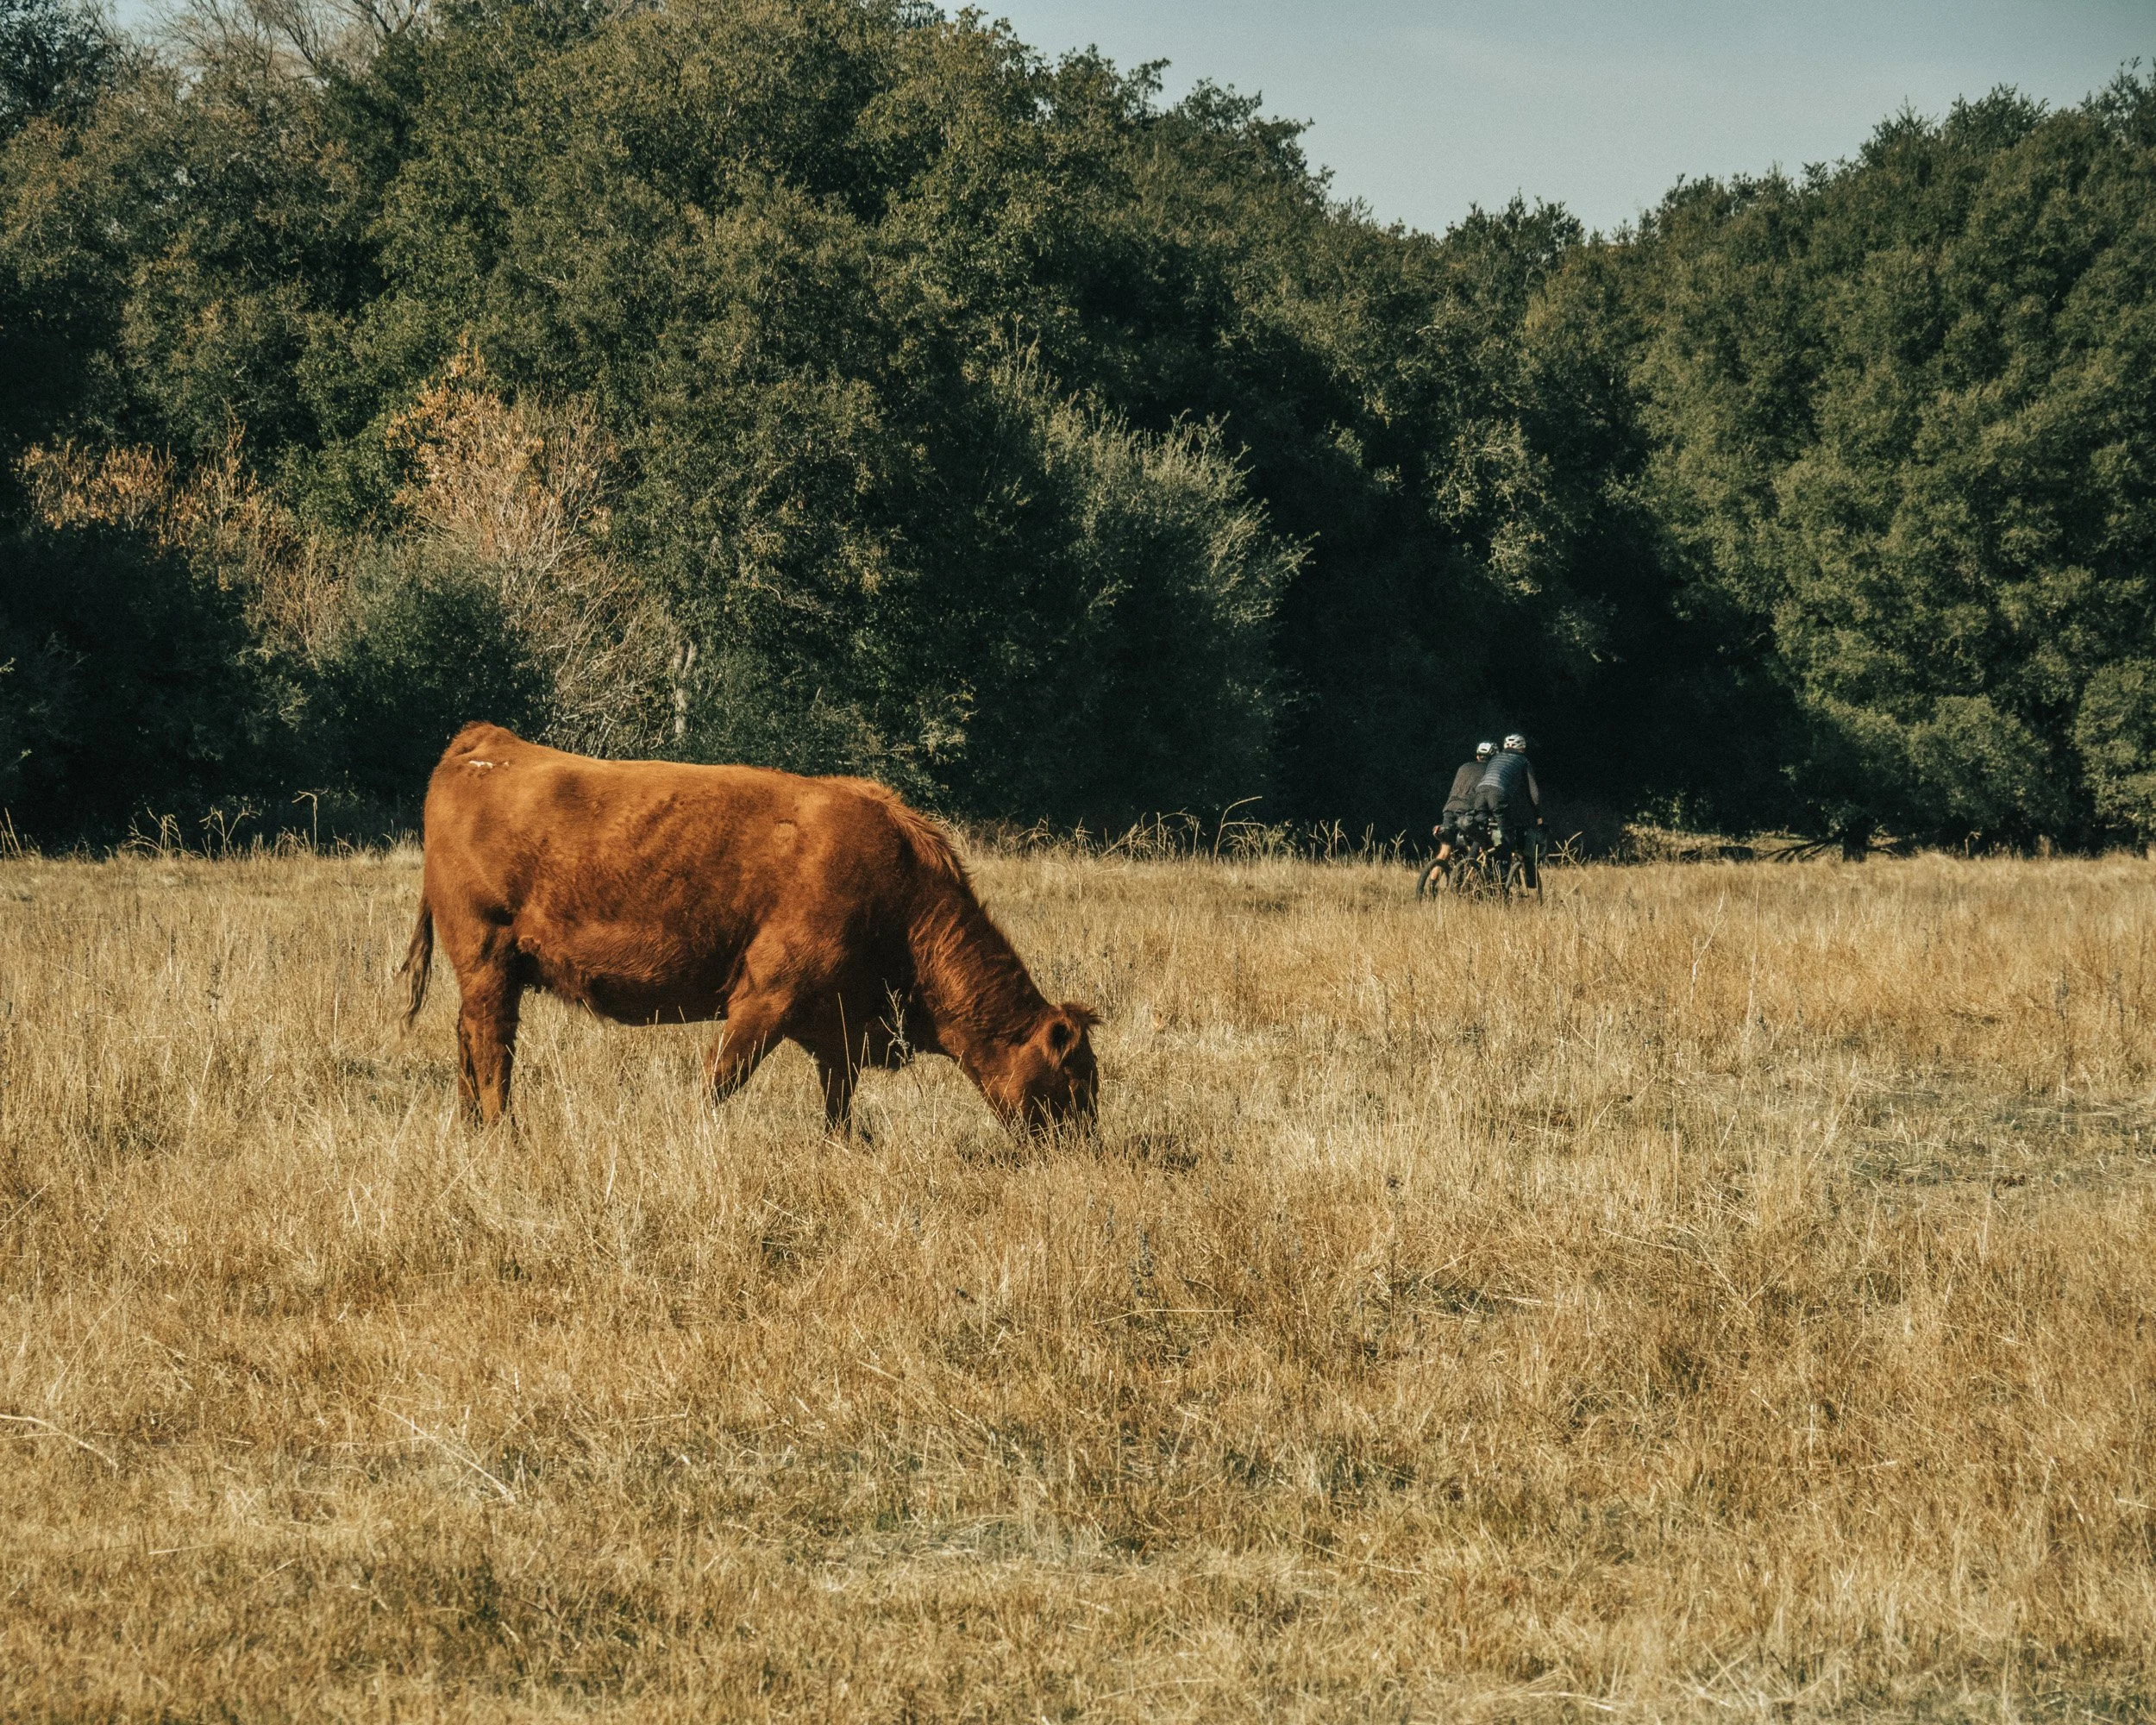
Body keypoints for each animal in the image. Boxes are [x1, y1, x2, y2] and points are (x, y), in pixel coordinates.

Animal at [397, 723, 1100, 1133]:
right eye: (1076, 1078)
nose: (1086, 1143)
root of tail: (487, 743)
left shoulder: (838, 1027)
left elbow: (838, 1104)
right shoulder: (765, 998)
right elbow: (720, 1081)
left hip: (491, 971)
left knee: (469, 1044)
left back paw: (473, 1128)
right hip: (488, 957)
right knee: (492, 1049)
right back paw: (502, 1131)